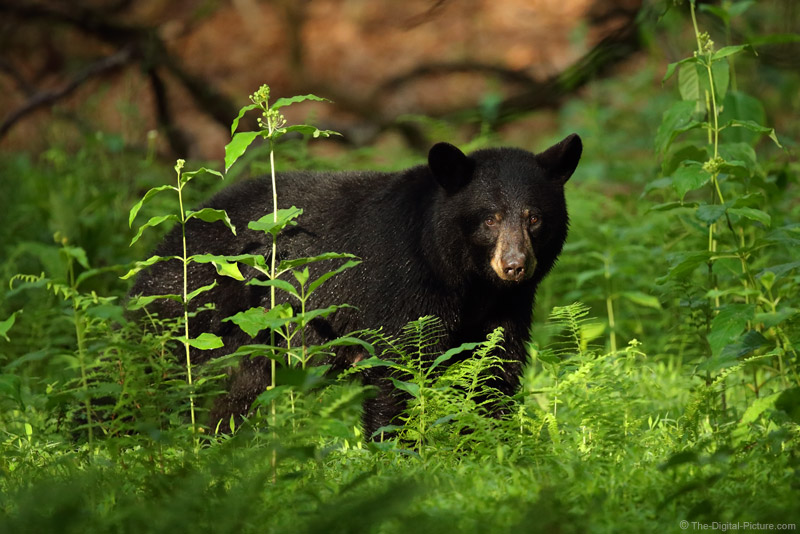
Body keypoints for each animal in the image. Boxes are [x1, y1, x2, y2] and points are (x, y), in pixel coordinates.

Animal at [130, 134, 580, 436]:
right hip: (192, 314)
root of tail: (169, 241)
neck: (464, 280)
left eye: (534, 217)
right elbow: (397, 371)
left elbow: (495, 369)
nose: (515, 265)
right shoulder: (401, 287)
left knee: (236, 395)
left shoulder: (506, 307)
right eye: (489, 218)